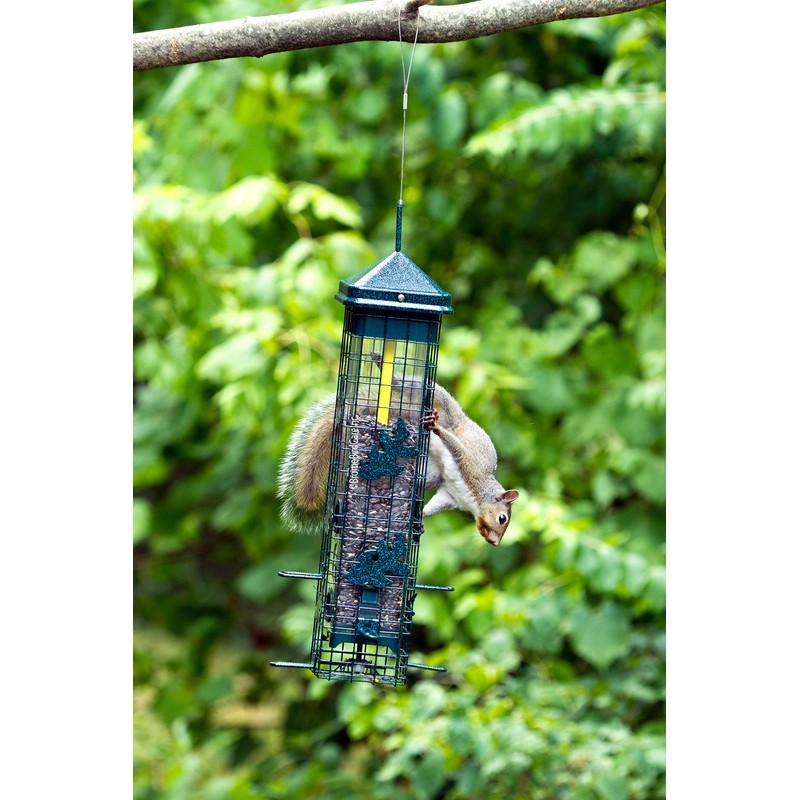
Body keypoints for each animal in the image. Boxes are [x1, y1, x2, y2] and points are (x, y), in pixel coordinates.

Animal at [277, 380, 519, 546]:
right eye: (502, 518)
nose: (494, 543)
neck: (474, 498)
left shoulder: (450, 495)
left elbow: (437, 503)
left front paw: (420, 518)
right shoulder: (470, 466)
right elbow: (456, 447)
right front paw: (437, 430)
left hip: (431, 474)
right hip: (446, 409)